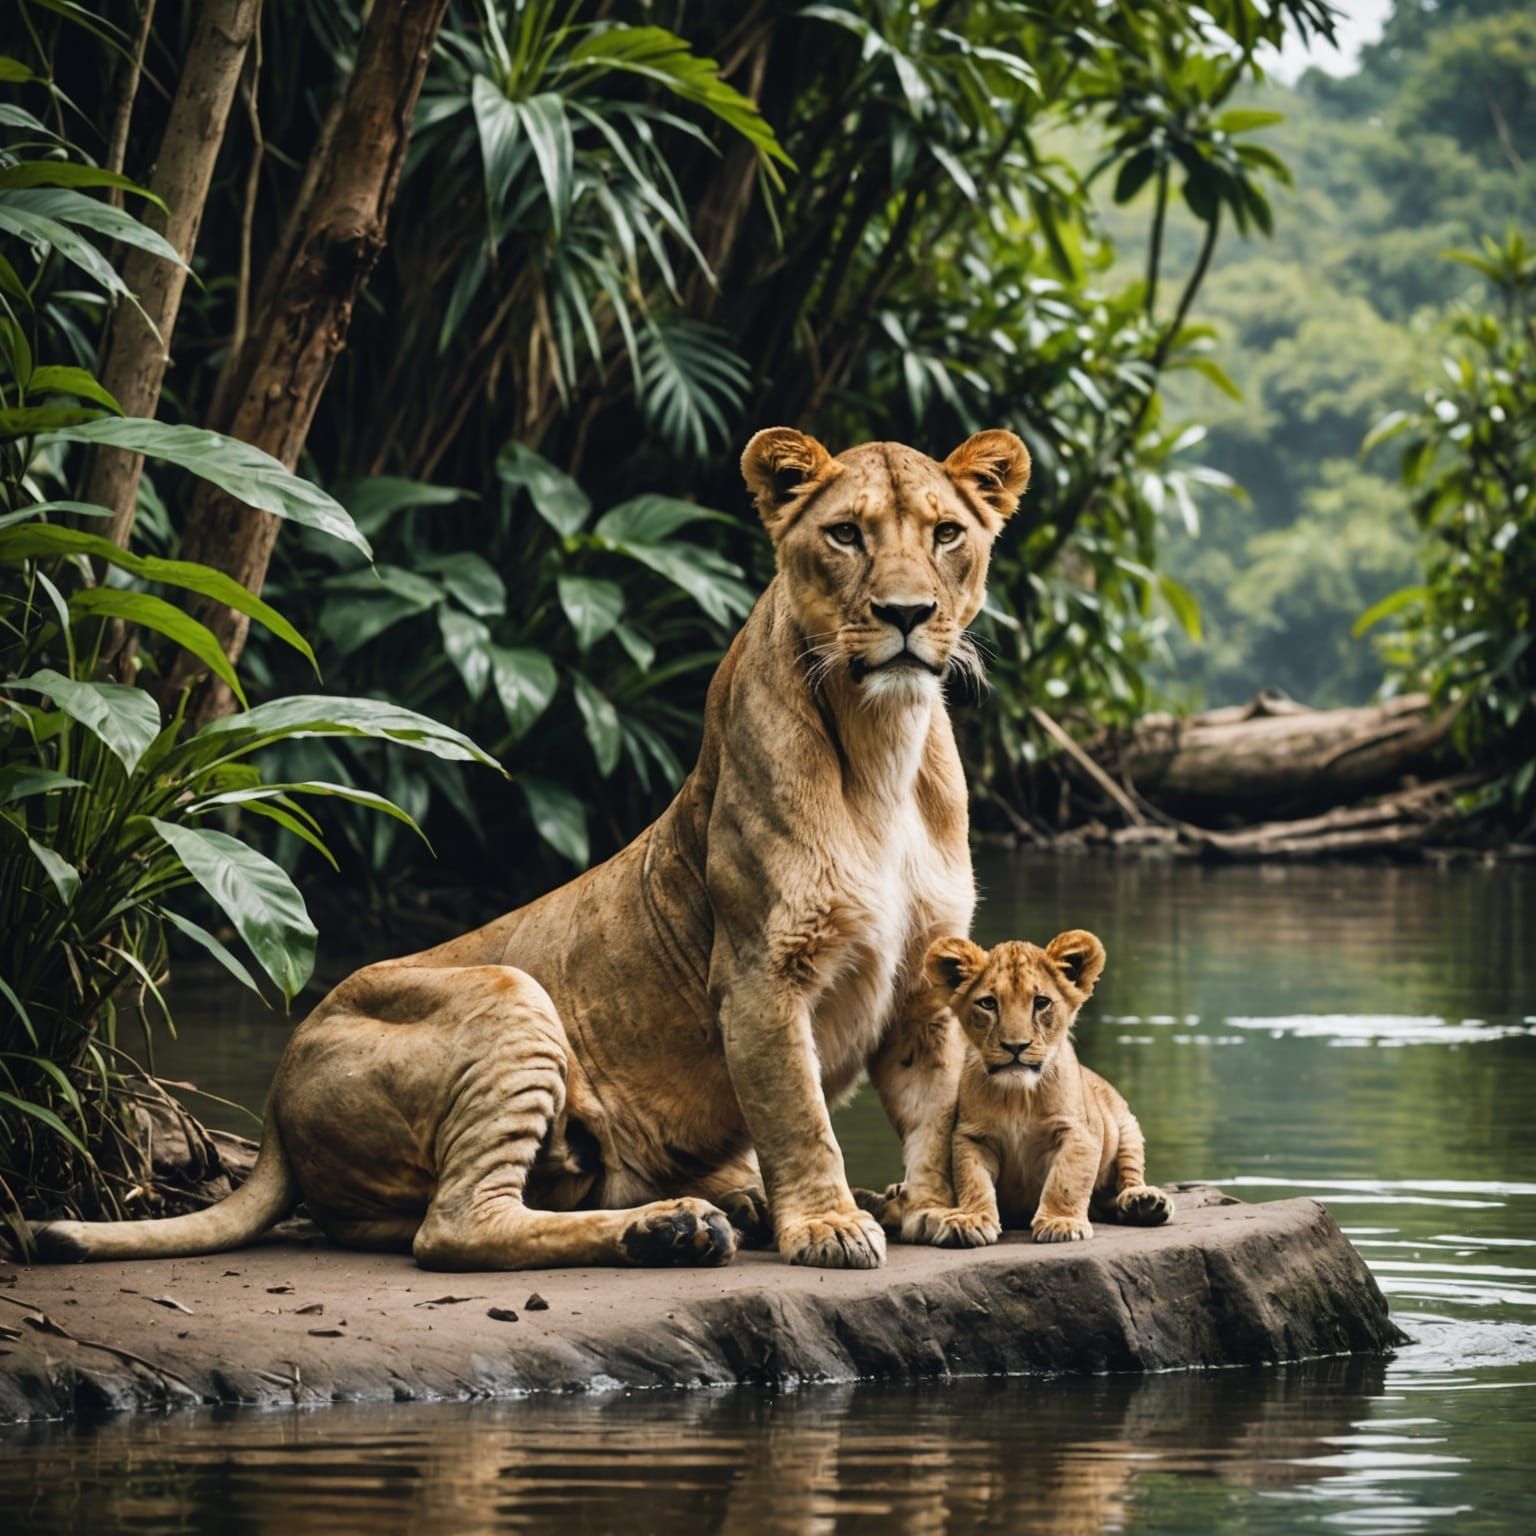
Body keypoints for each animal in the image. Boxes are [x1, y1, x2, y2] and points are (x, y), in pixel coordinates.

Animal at [35, 427, 1031, 1272]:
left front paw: (938, 1210)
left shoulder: (925, 985)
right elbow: (799, 1119)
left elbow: (935, 1116)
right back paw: (678, 1227)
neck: (883, 743)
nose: (906, 612)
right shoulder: (760, 978)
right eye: (846, 535)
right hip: (509, 998)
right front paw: (829, 1225)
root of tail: (276, 1096)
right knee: (456, 1228)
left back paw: (709, 1213)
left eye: (946, 534)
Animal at [880, 930, 1173, 1247]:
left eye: (1041, 1002)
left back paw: (1144, 1202)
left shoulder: (1078, 1132)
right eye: (988, 1004)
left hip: (1126, 1125)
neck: (1017, 1095)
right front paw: (972, 1219)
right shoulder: (971, 1137)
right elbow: (973, 1180)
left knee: (1126, 1177)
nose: (1015, 1046)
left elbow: (1066, 1180)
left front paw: (1060, 1222)